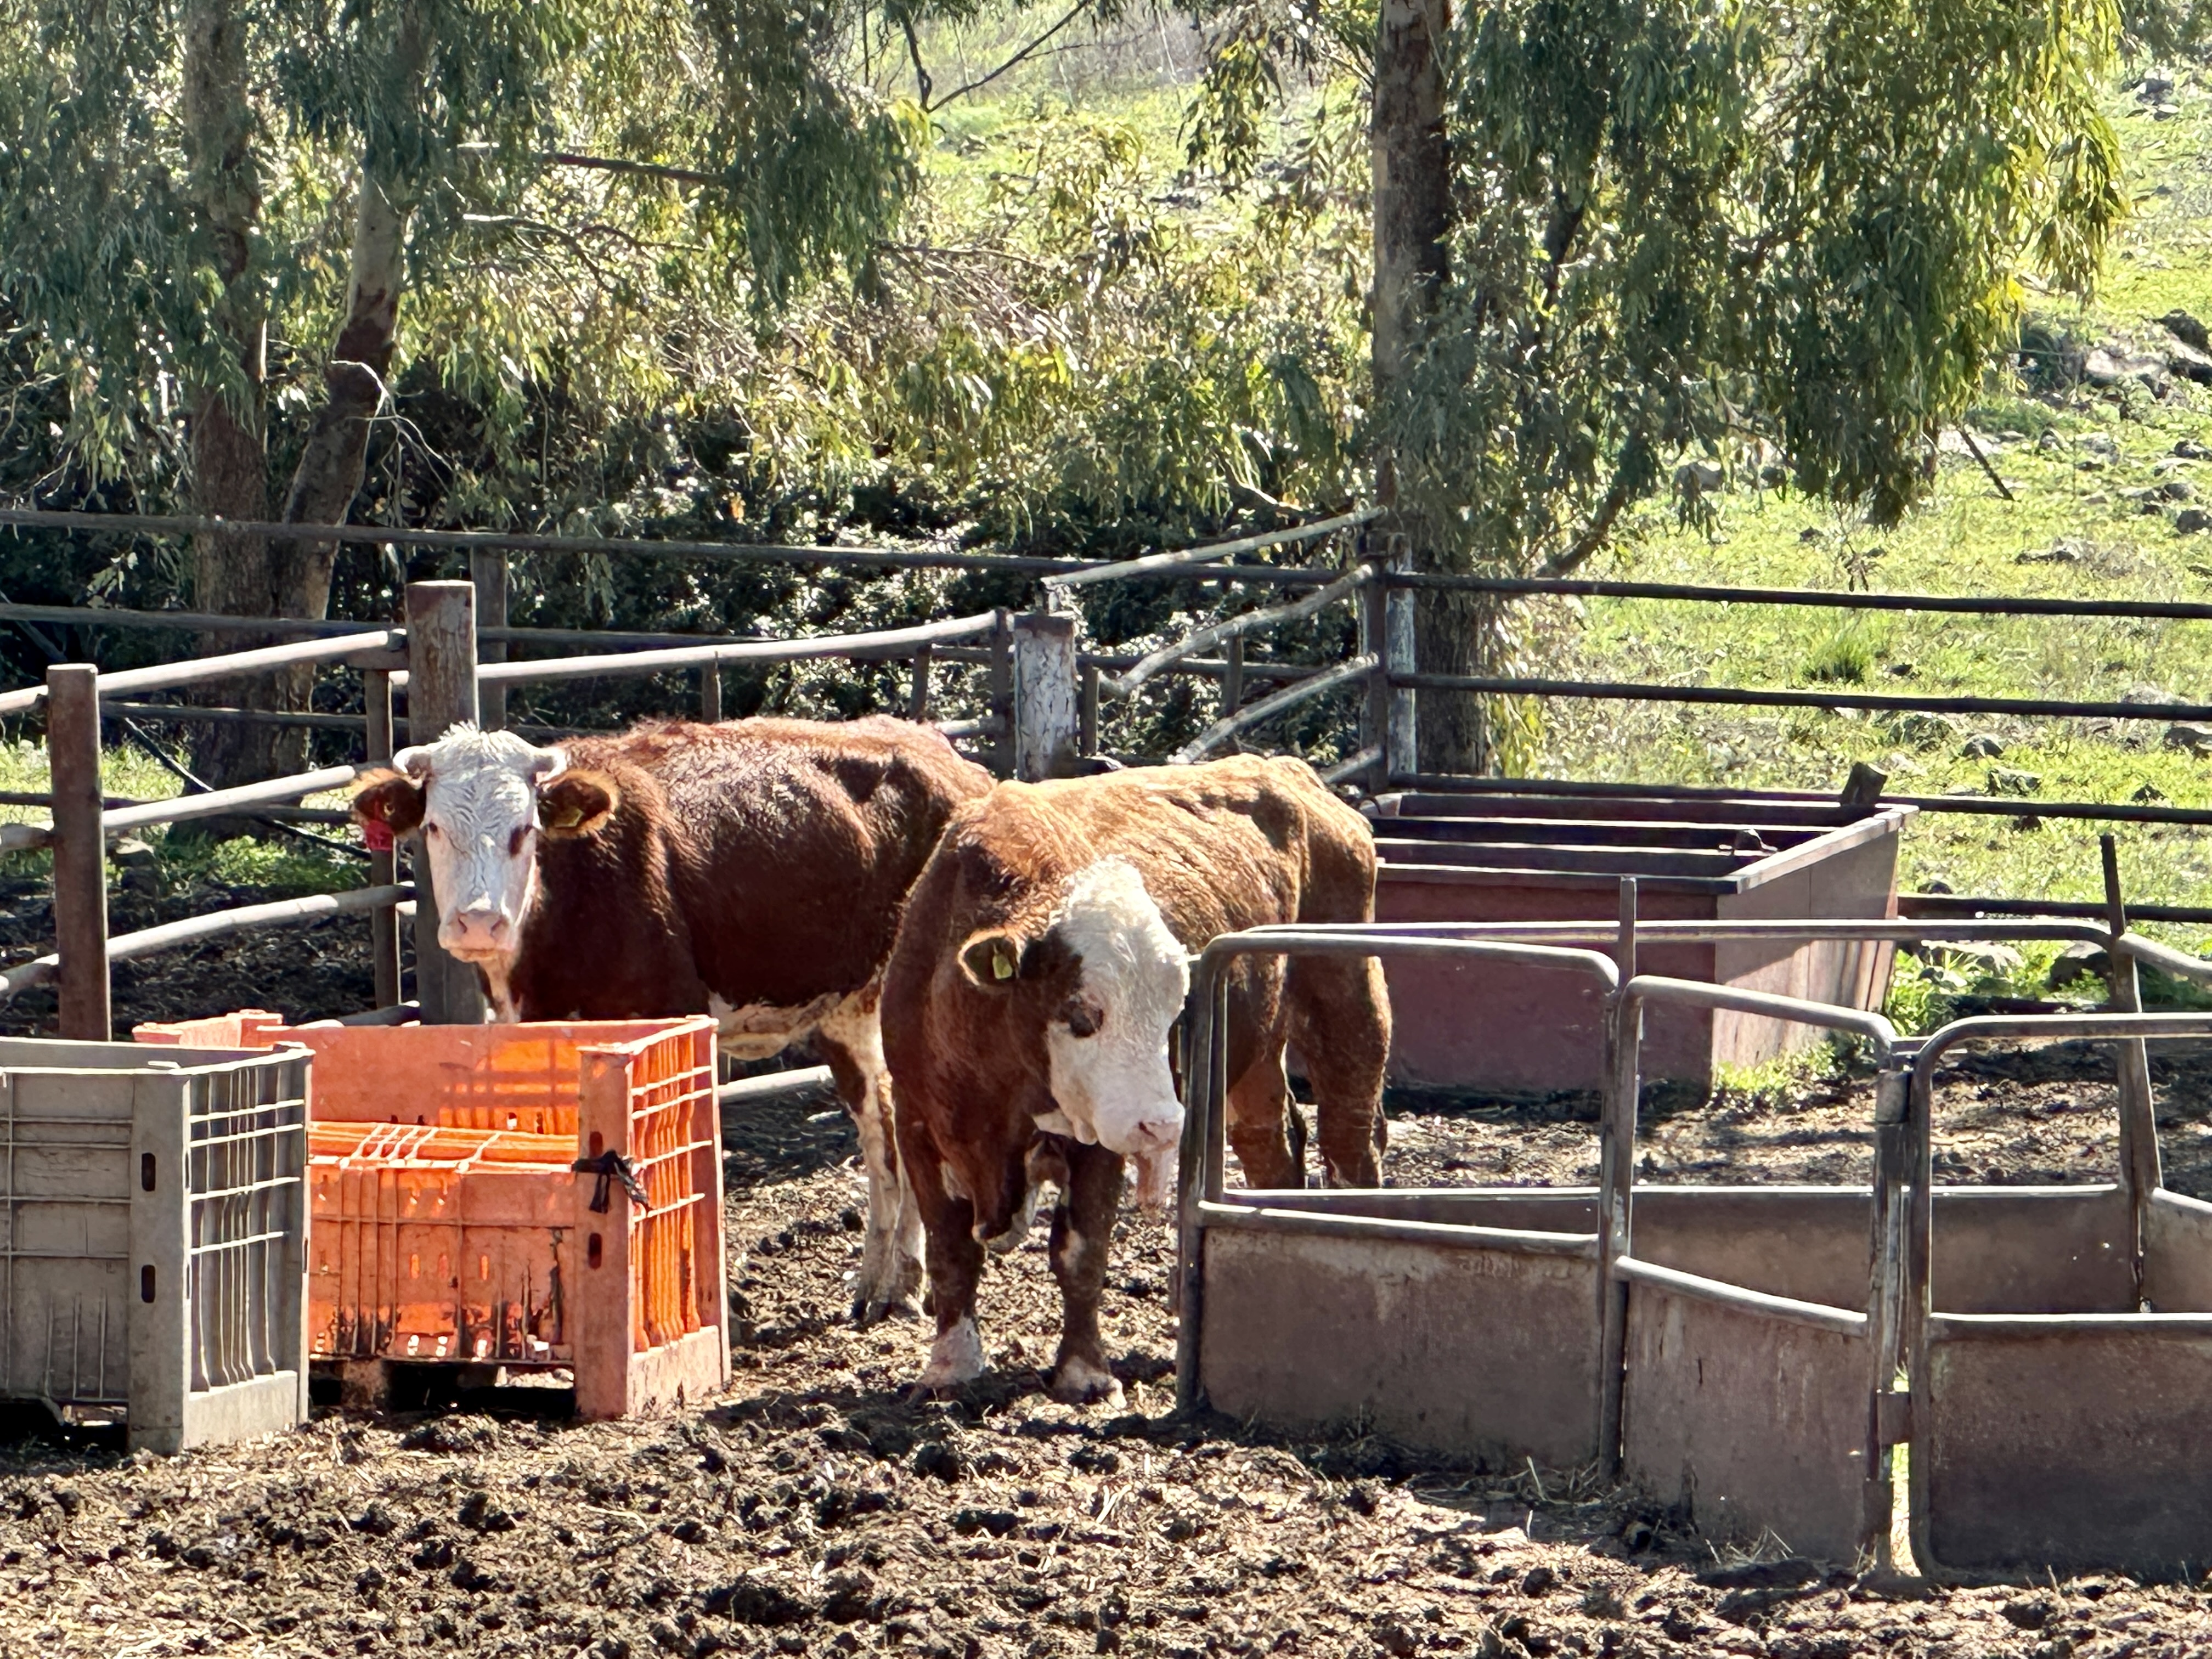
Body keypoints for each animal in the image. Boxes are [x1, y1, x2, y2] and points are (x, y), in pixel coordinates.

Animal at [349, 716, 991, 1327]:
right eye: (434, 828)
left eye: (524, 830)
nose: (480, 922)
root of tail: (949, 760)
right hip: (848, 1011)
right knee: (883, 1127)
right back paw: (881, 1285)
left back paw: (903, 1285)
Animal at [876, 752, 1380, 1407]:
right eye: (1082, 1014)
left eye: (1173, 1012)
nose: (1162, 1125)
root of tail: (1287, 769)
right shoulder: (918, 1121)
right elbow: (950, 1249)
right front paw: (950, 1365)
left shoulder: (1096, 1139)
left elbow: (1080, 1253)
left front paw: (1085, 1372)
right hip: (1256, 1051)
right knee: (1272, 1142)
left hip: (1348, 999)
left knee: (1350, 1135)